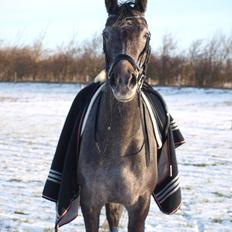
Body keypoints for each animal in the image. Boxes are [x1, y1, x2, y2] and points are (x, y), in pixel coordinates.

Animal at [78, 0, 158, 231]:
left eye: (146, 35)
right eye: (106, 34)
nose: (123, 81)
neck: (119, 145)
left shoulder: (139, 208)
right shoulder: (90, 204)